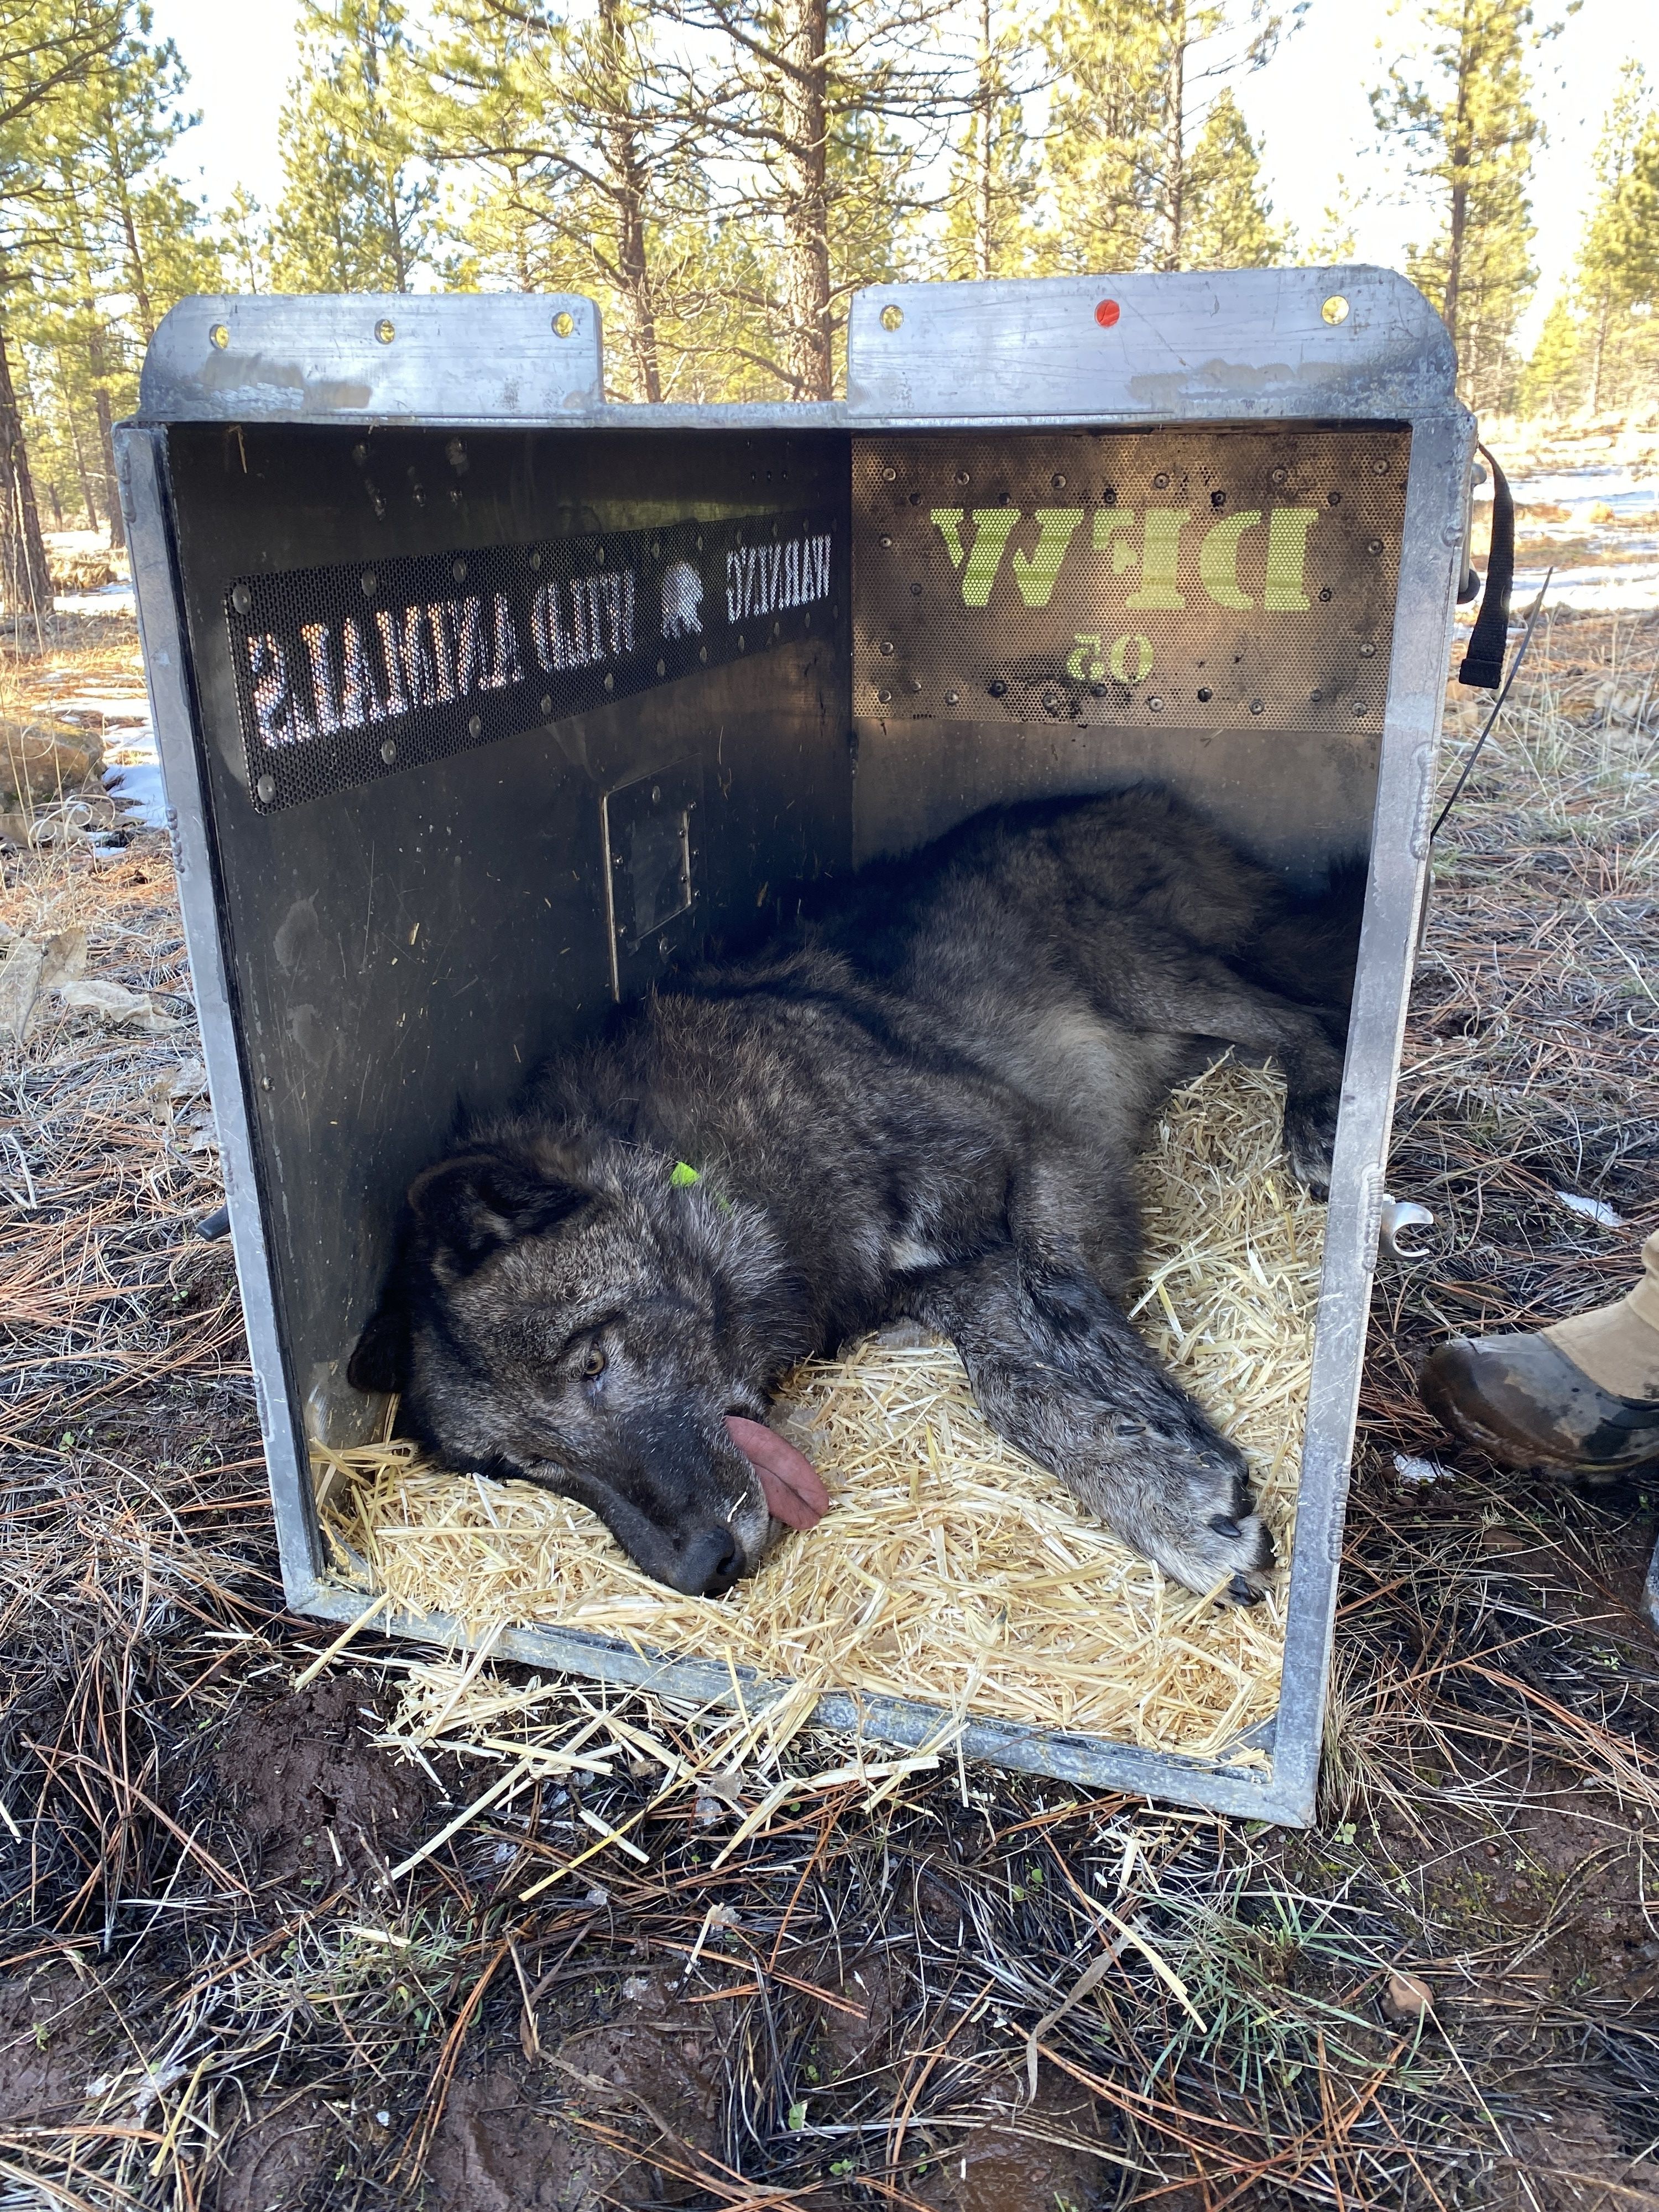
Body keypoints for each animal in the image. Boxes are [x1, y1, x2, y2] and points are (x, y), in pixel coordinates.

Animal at [349, 786, 1361, 1603]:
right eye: (526, 1466)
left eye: (592, 1366)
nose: (701, 1572)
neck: (735, 1176)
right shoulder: (955, 1281)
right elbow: (1012, 1387)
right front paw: (1154, 1488)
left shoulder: (1036, 1149)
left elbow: (1067, 1302)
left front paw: (1169, 1445)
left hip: (1131, 964)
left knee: (1305, 1017)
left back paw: (1319, 1116)